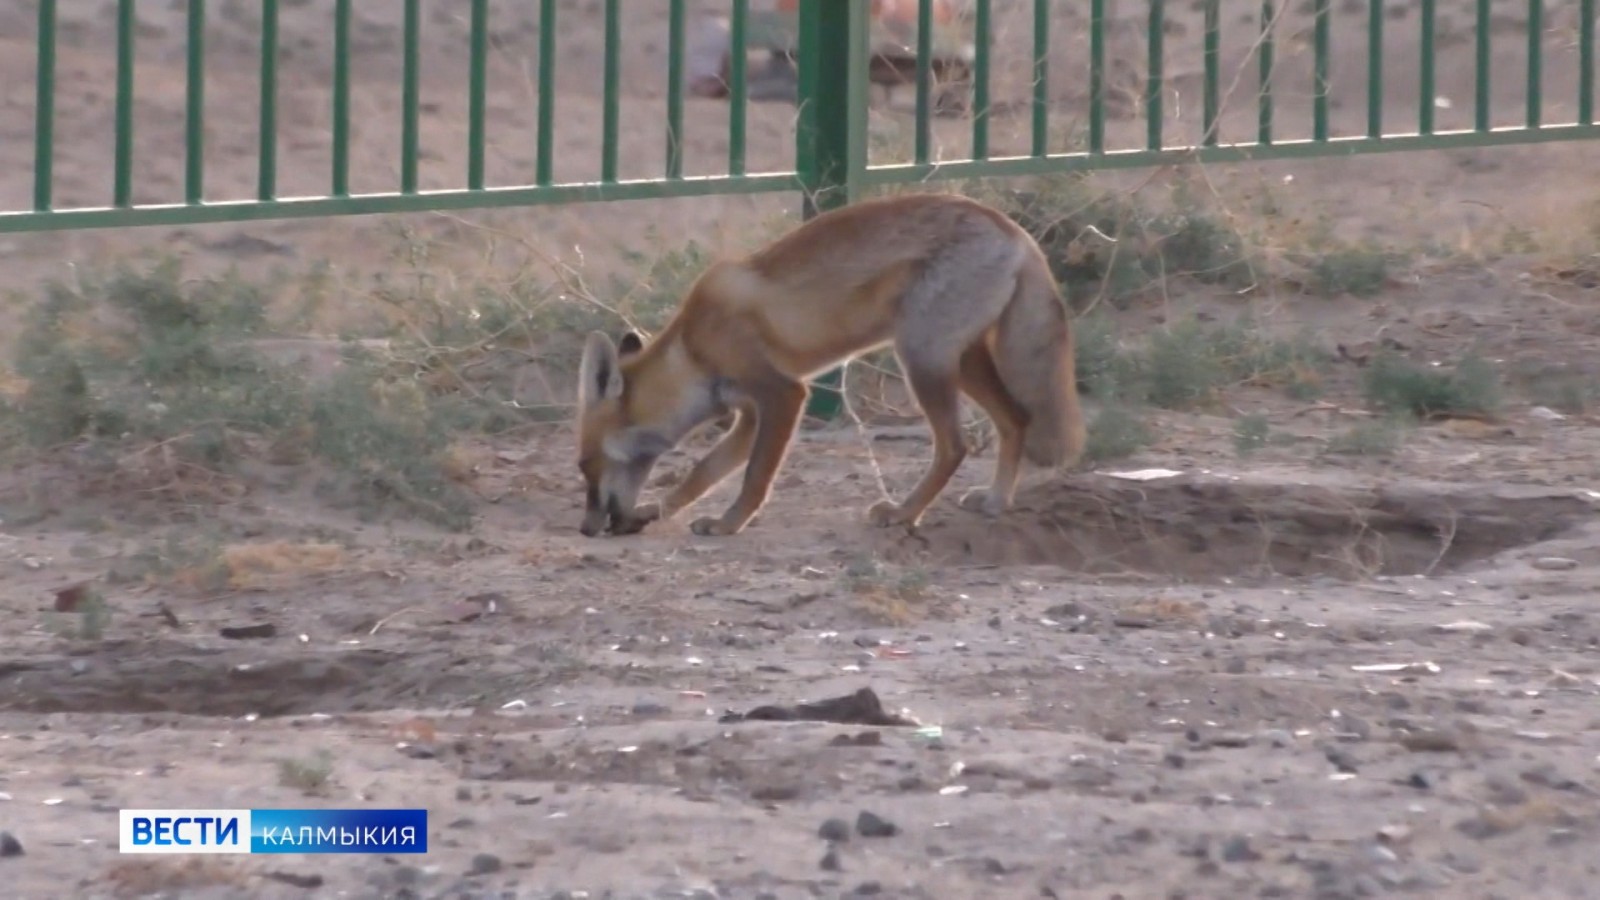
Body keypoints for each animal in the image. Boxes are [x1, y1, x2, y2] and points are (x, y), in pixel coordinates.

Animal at [576, 192, 1088, 534]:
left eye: (585, 466)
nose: (586, 529)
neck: (692, 353)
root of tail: (1013, 229)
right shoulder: (748, 412)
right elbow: (704, 471)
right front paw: (659, 511)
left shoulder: (783, 394)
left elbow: (754, 478)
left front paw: (729, 524)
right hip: (961, 359)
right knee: (1016, 419)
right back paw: (997, 500)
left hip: (921, 358)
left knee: (954, 447)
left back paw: (904, 513)